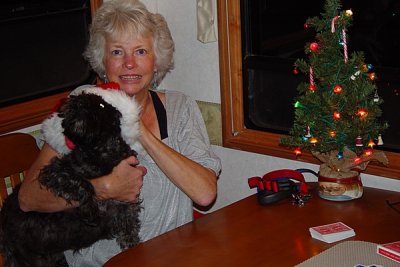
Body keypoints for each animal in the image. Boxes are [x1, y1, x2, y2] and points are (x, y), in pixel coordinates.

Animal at [0, 87, 143, 267]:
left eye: (102, 105)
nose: (78, 103)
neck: (99, 152)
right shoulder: (54, 172)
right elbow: (84, 184)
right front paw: (90, 209)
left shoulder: (126, 207)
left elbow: (129, 232)